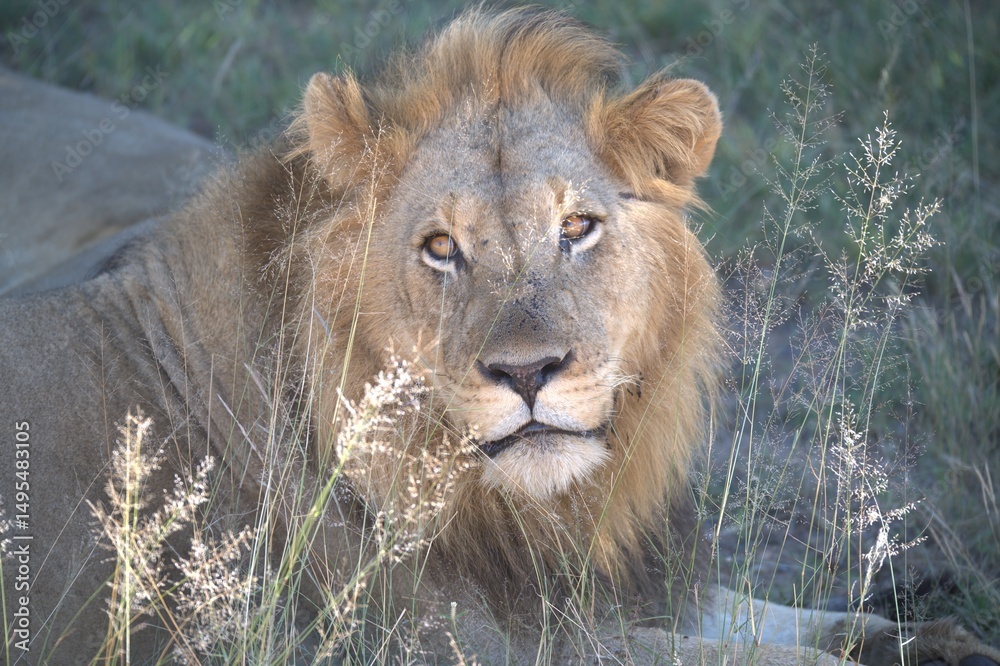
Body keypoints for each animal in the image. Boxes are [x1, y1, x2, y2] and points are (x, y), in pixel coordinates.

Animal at [1, 8, 998, 665]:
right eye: (442, 247)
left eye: (578, 228)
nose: (528, 372)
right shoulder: (459, 640)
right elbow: (750, 652)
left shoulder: (592, 584)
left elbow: (765, 616)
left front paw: (938, 638)